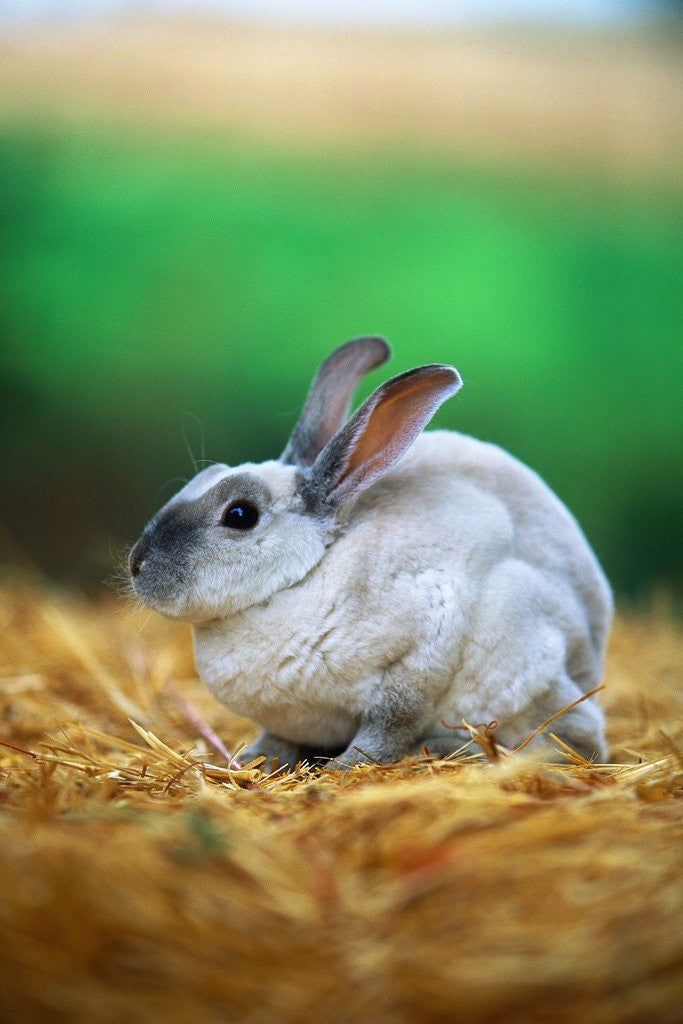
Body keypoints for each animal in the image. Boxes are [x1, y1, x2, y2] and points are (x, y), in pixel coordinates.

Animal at [129, 336, 612, 769]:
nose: (137, 564)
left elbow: (389, 725)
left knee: (572, 741)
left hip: (527, 659)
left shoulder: (422, 650)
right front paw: (251, 761)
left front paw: (344, 768)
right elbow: (278, 739)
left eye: (241, 514)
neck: (305, 577)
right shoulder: (288, 721)